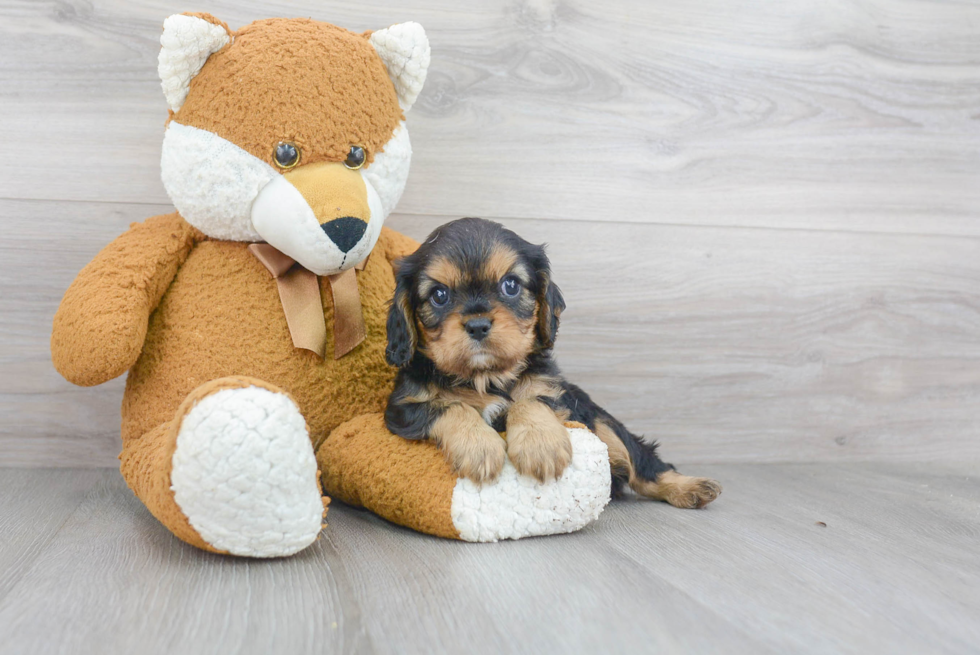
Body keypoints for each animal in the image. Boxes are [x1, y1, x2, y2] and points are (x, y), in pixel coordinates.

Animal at [382, 218, 720, 510]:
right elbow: (451, 406)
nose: (477, 325)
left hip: (603, 424)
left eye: (510, 285)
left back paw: (690, 488)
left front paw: (539, 445)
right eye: (439, 295)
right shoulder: (403, 408)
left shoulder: (557, 395)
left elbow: (529, 401)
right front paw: (479, 446)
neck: (486, 377)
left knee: (643, 463)